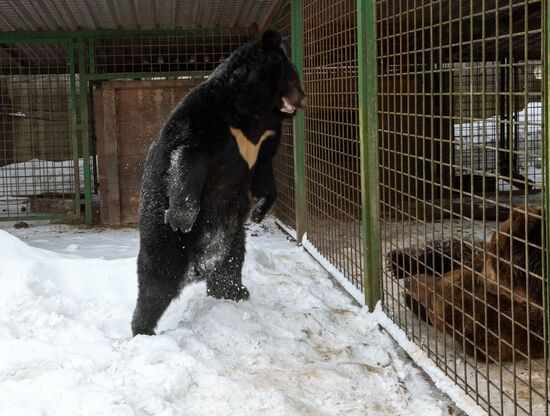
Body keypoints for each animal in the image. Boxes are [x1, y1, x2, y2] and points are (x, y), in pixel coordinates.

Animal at [132, 30, 308, 336]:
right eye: (293, 77)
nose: (304, 100)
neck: (252, 112)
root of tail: (198, 265)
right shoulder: (207, 116)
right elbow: (187, 154)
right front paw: (182, 216)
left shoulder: (265, 138)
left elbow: (264, 171)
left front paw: (261, 208)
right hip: (162, 235)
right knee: (157, 278)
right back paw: (143, 329)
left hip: (232, 232)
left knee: (231, 261)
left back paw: (234, 292)